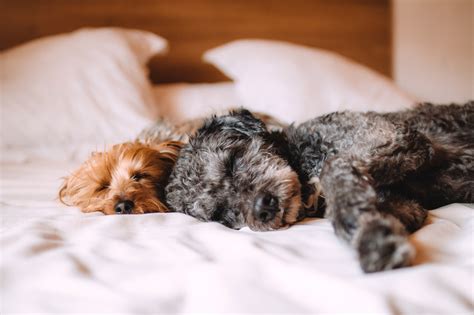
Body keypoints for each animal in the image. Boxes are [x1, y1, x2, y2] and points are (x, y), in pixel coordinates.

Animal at [165, 103, 472, 274]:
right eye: (221, 213)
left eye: (232, 162)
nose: (262, 208)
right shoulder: (408, 204)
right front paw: (370, 226)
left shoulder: (396, 136)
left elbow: (333, 168)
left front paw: (372, 240)